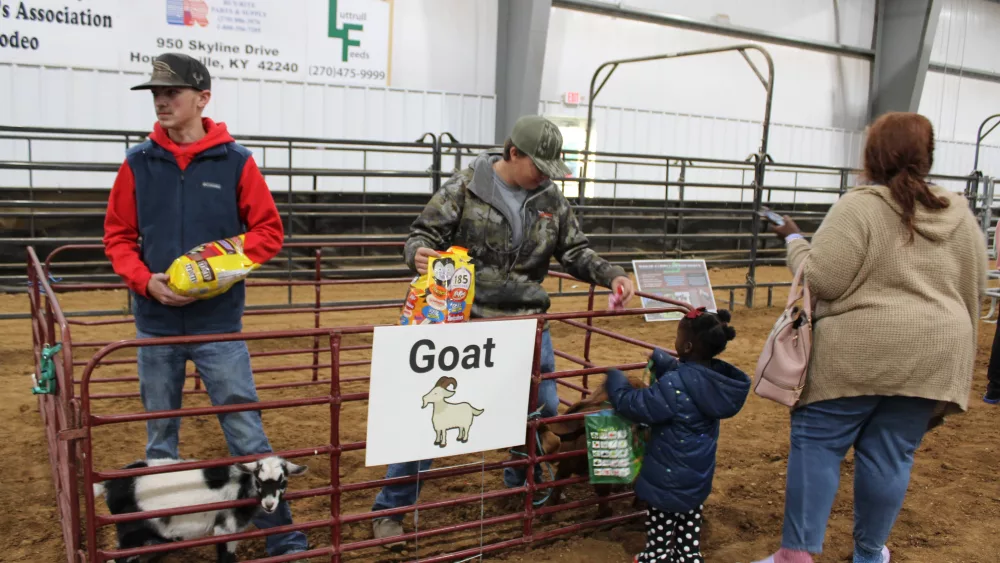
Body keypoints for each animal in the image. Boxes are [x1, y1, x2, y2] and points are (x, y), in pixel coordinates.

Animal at [92, 456, 306, 560]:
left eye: (282, 482)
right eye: (259, 481)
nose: (269, 504)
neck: (241, 486)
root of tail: (108, 485)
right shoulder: (226, 528)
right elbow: (226, 557)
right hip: (130, 530)